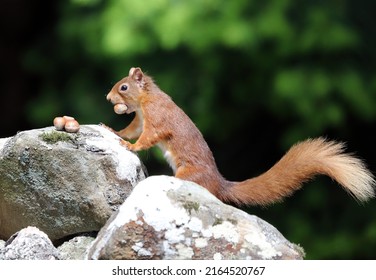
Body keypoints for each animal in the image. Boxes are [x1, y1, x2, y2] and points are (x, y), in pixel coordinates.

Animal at [101, 66, 374, 206]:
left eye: (124, 87)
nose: (108, 98)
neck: (145, 101)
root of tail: (219, 184)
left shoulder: (156, 120)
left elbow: (147, 138)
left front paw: (129, 145)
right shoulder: (139, 120)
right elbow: (132, 130)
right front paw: (113, 130)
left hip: (189, 174)